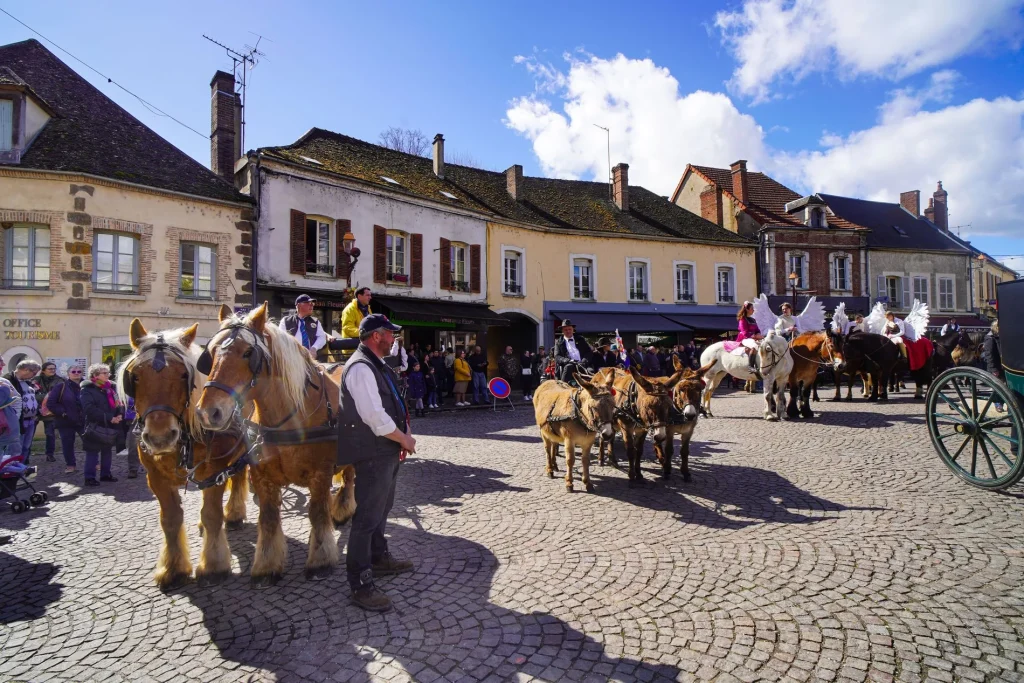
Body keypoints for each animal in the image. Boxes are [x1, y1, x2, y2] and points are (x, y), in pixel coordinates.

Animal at [116, 321, 249, 593]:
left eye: (182, 375)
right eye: (135, 376)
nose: (160, 436)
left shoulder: (215, 470)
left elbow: (212, 514)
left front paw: (213, 566)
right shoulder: (155, 478)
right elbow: (170, 519)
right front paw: (173, 569)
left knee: (239, 478)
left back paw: (234, 514)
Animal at [194, 305, 356, 589]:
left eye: (248, 353)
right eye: (210, 353)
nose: (207, 412)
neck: (293, 417)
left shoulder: (321, 474)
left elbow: (317, 513)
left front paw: (321, 560)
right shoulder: (262, 476)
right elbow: (268, 518)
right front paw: (267, 565)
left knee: (349, 478)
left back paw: (344, 510)